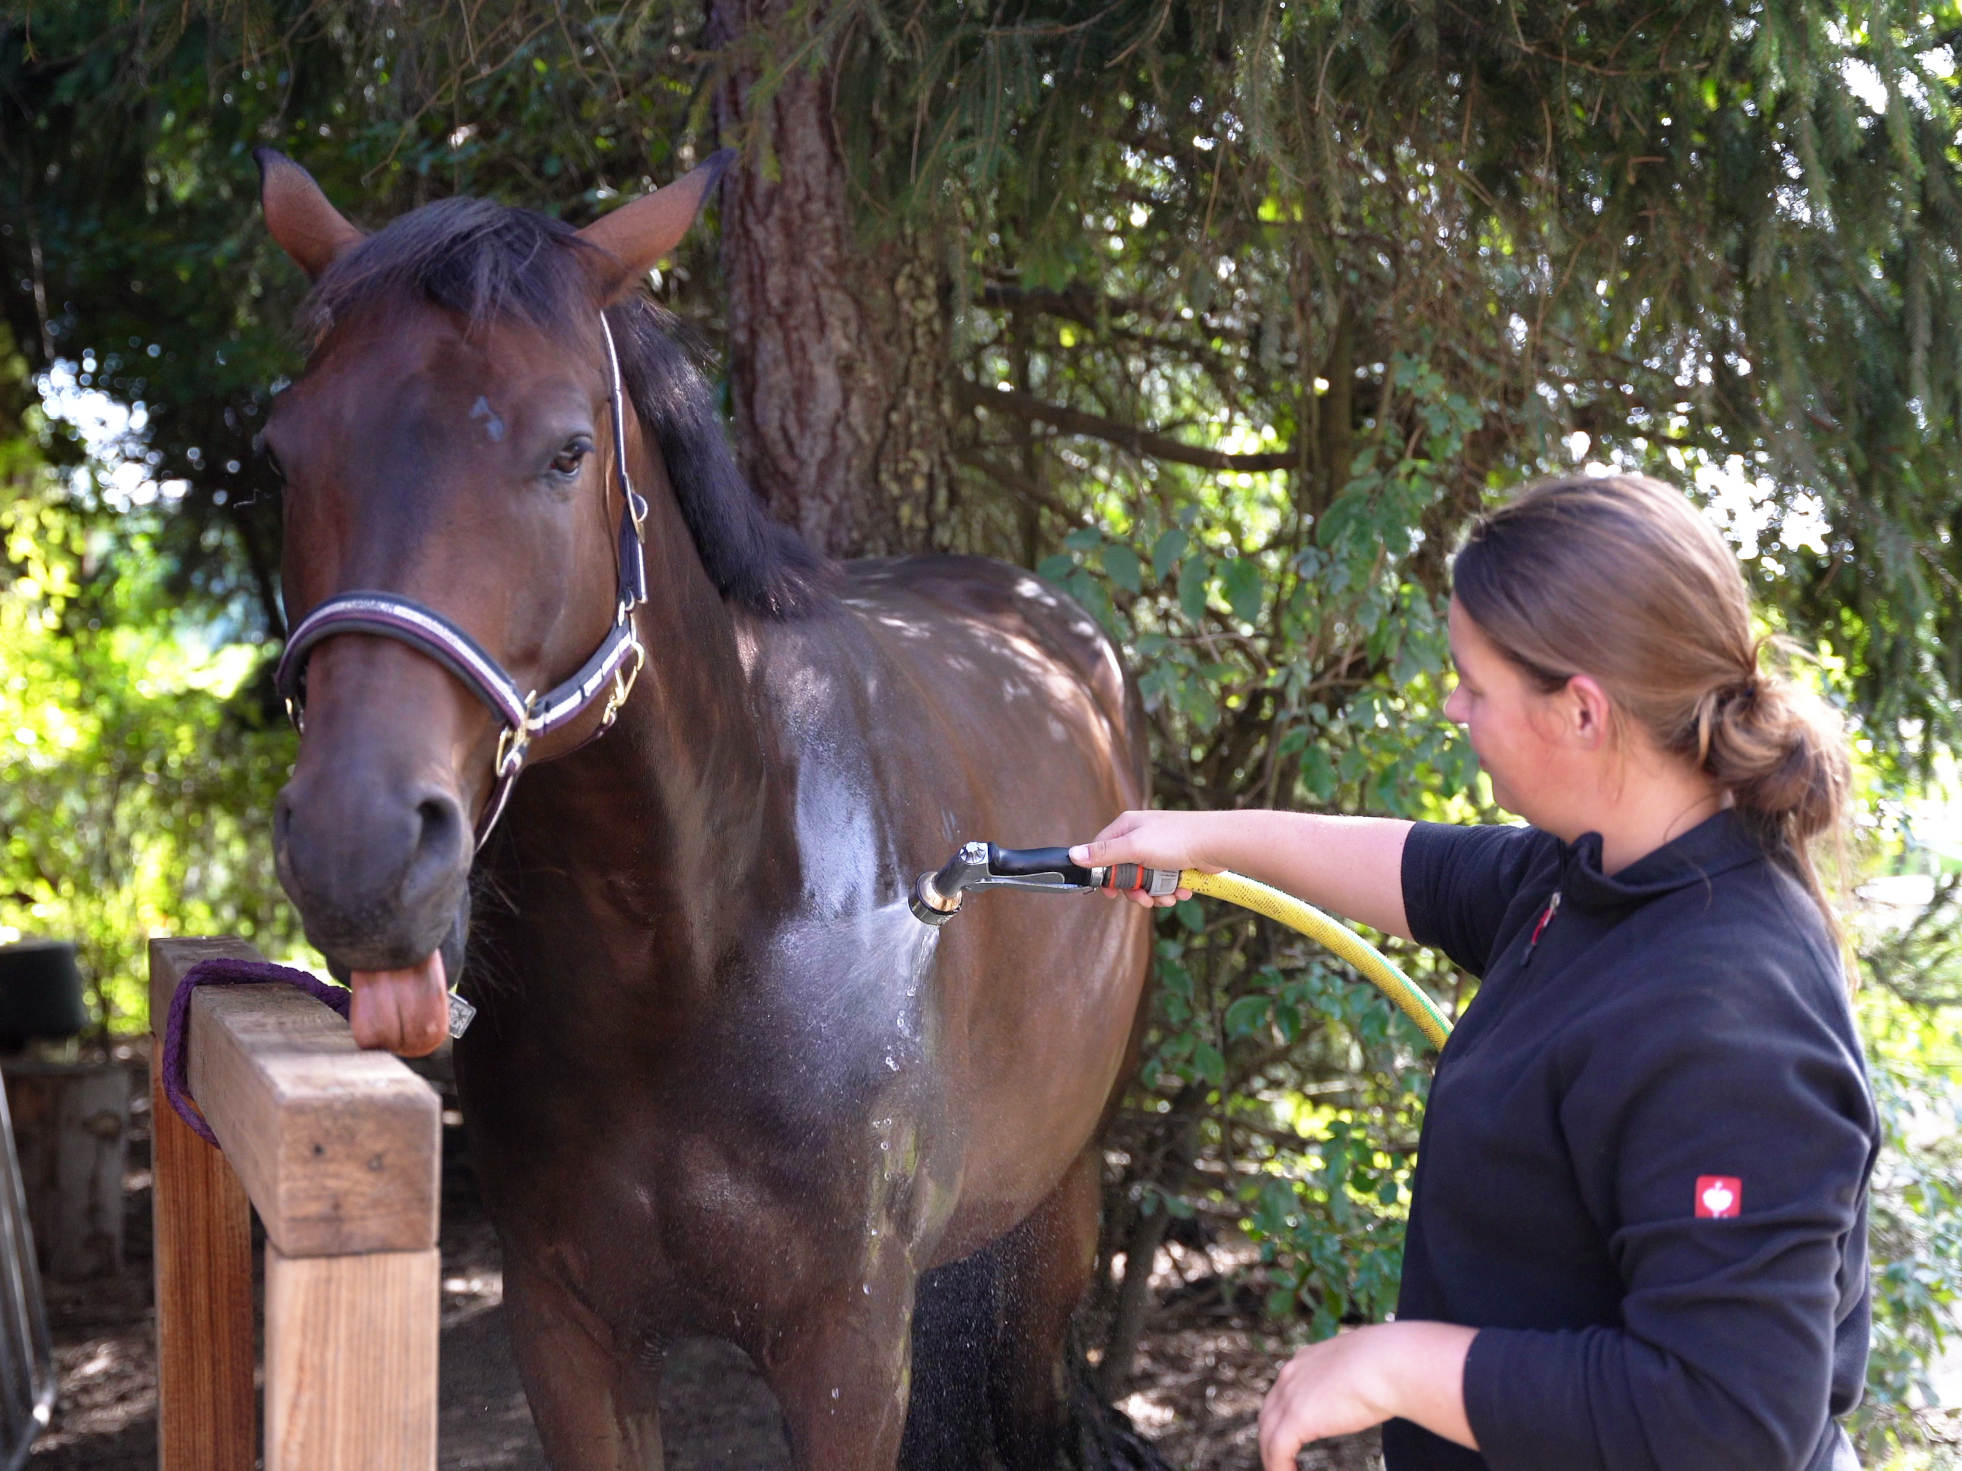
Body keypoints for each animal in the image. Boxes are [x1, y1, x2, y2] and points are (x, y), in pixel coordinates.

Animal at [253, 152, 1153, 1471]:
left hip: (1059, 1200)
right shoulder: (567, 1329)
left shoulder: (847, 1348)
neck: (699, 945)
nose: (355, 846)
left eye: (569, 451)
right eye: (285, 451)